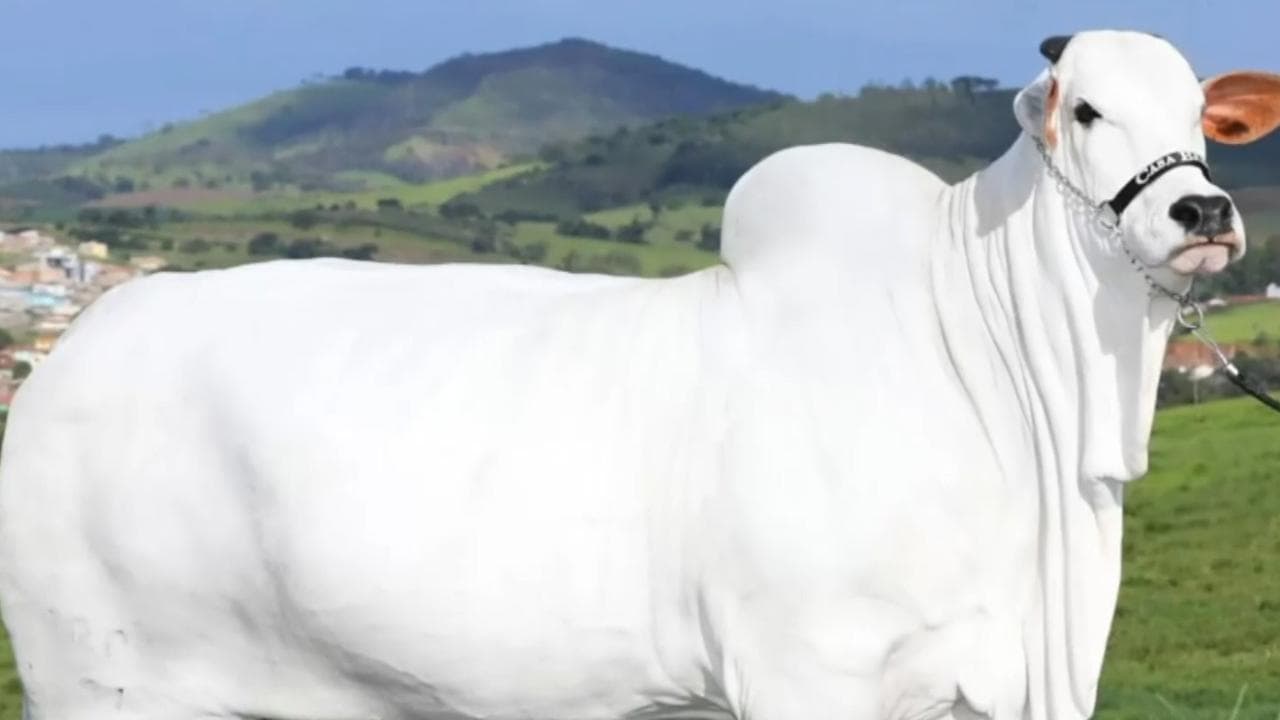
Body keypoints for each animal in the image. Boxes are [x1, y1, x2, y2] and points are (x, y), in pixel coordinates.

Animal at [2, 29, 1279, 720]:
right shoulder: (805, 672)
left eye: (1197, 116)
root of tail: (82, 347)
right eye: (1085, 110)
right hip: (94, 682)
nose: (1202, 212)